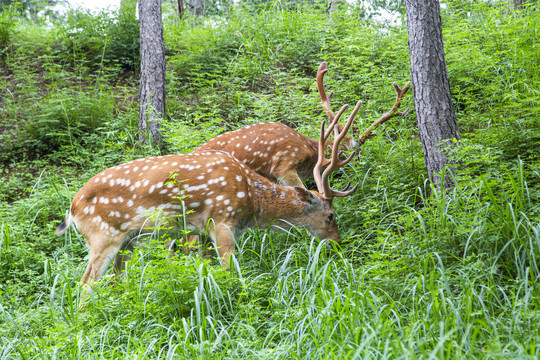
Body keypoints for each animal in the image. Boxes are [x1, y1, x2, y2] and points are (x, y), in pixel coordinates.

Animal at [53, 102, 358, 288]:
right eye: (331, 216)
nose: (338, 243)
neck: (252, 202)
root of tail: (73, 209)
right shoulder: (222, 220)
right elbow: (229, 270)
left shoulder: (199, 231)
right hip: (103, 237)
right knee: (85, 285)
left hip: (128, 242)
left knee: (114, 280)